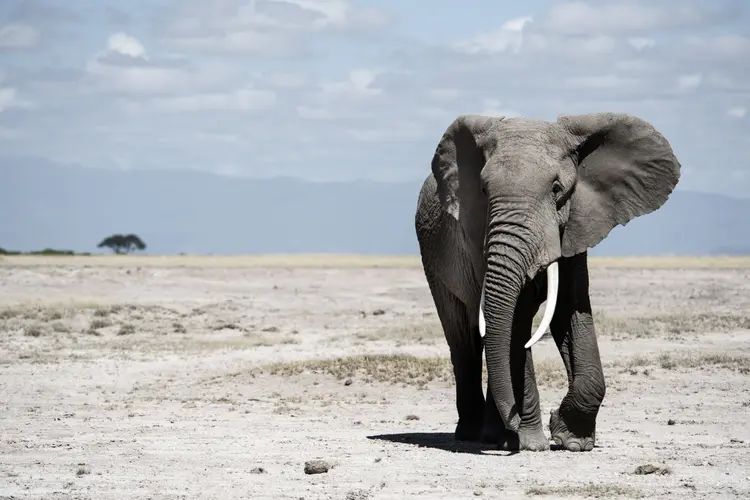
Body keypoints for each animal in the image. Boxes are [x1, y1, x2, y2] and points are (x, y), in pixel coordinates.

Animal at [414, 111, 684, 452]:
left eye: (557, 189)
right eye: (484, 191)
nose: (515, 422)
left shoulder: (576, 227)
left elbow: (569, 310)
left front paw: (572, 441)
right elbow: (516, 322)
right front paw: (532, 443)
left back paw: (495, 436)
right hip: (433, 259)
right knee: (464, 338)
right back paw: (476, 433)